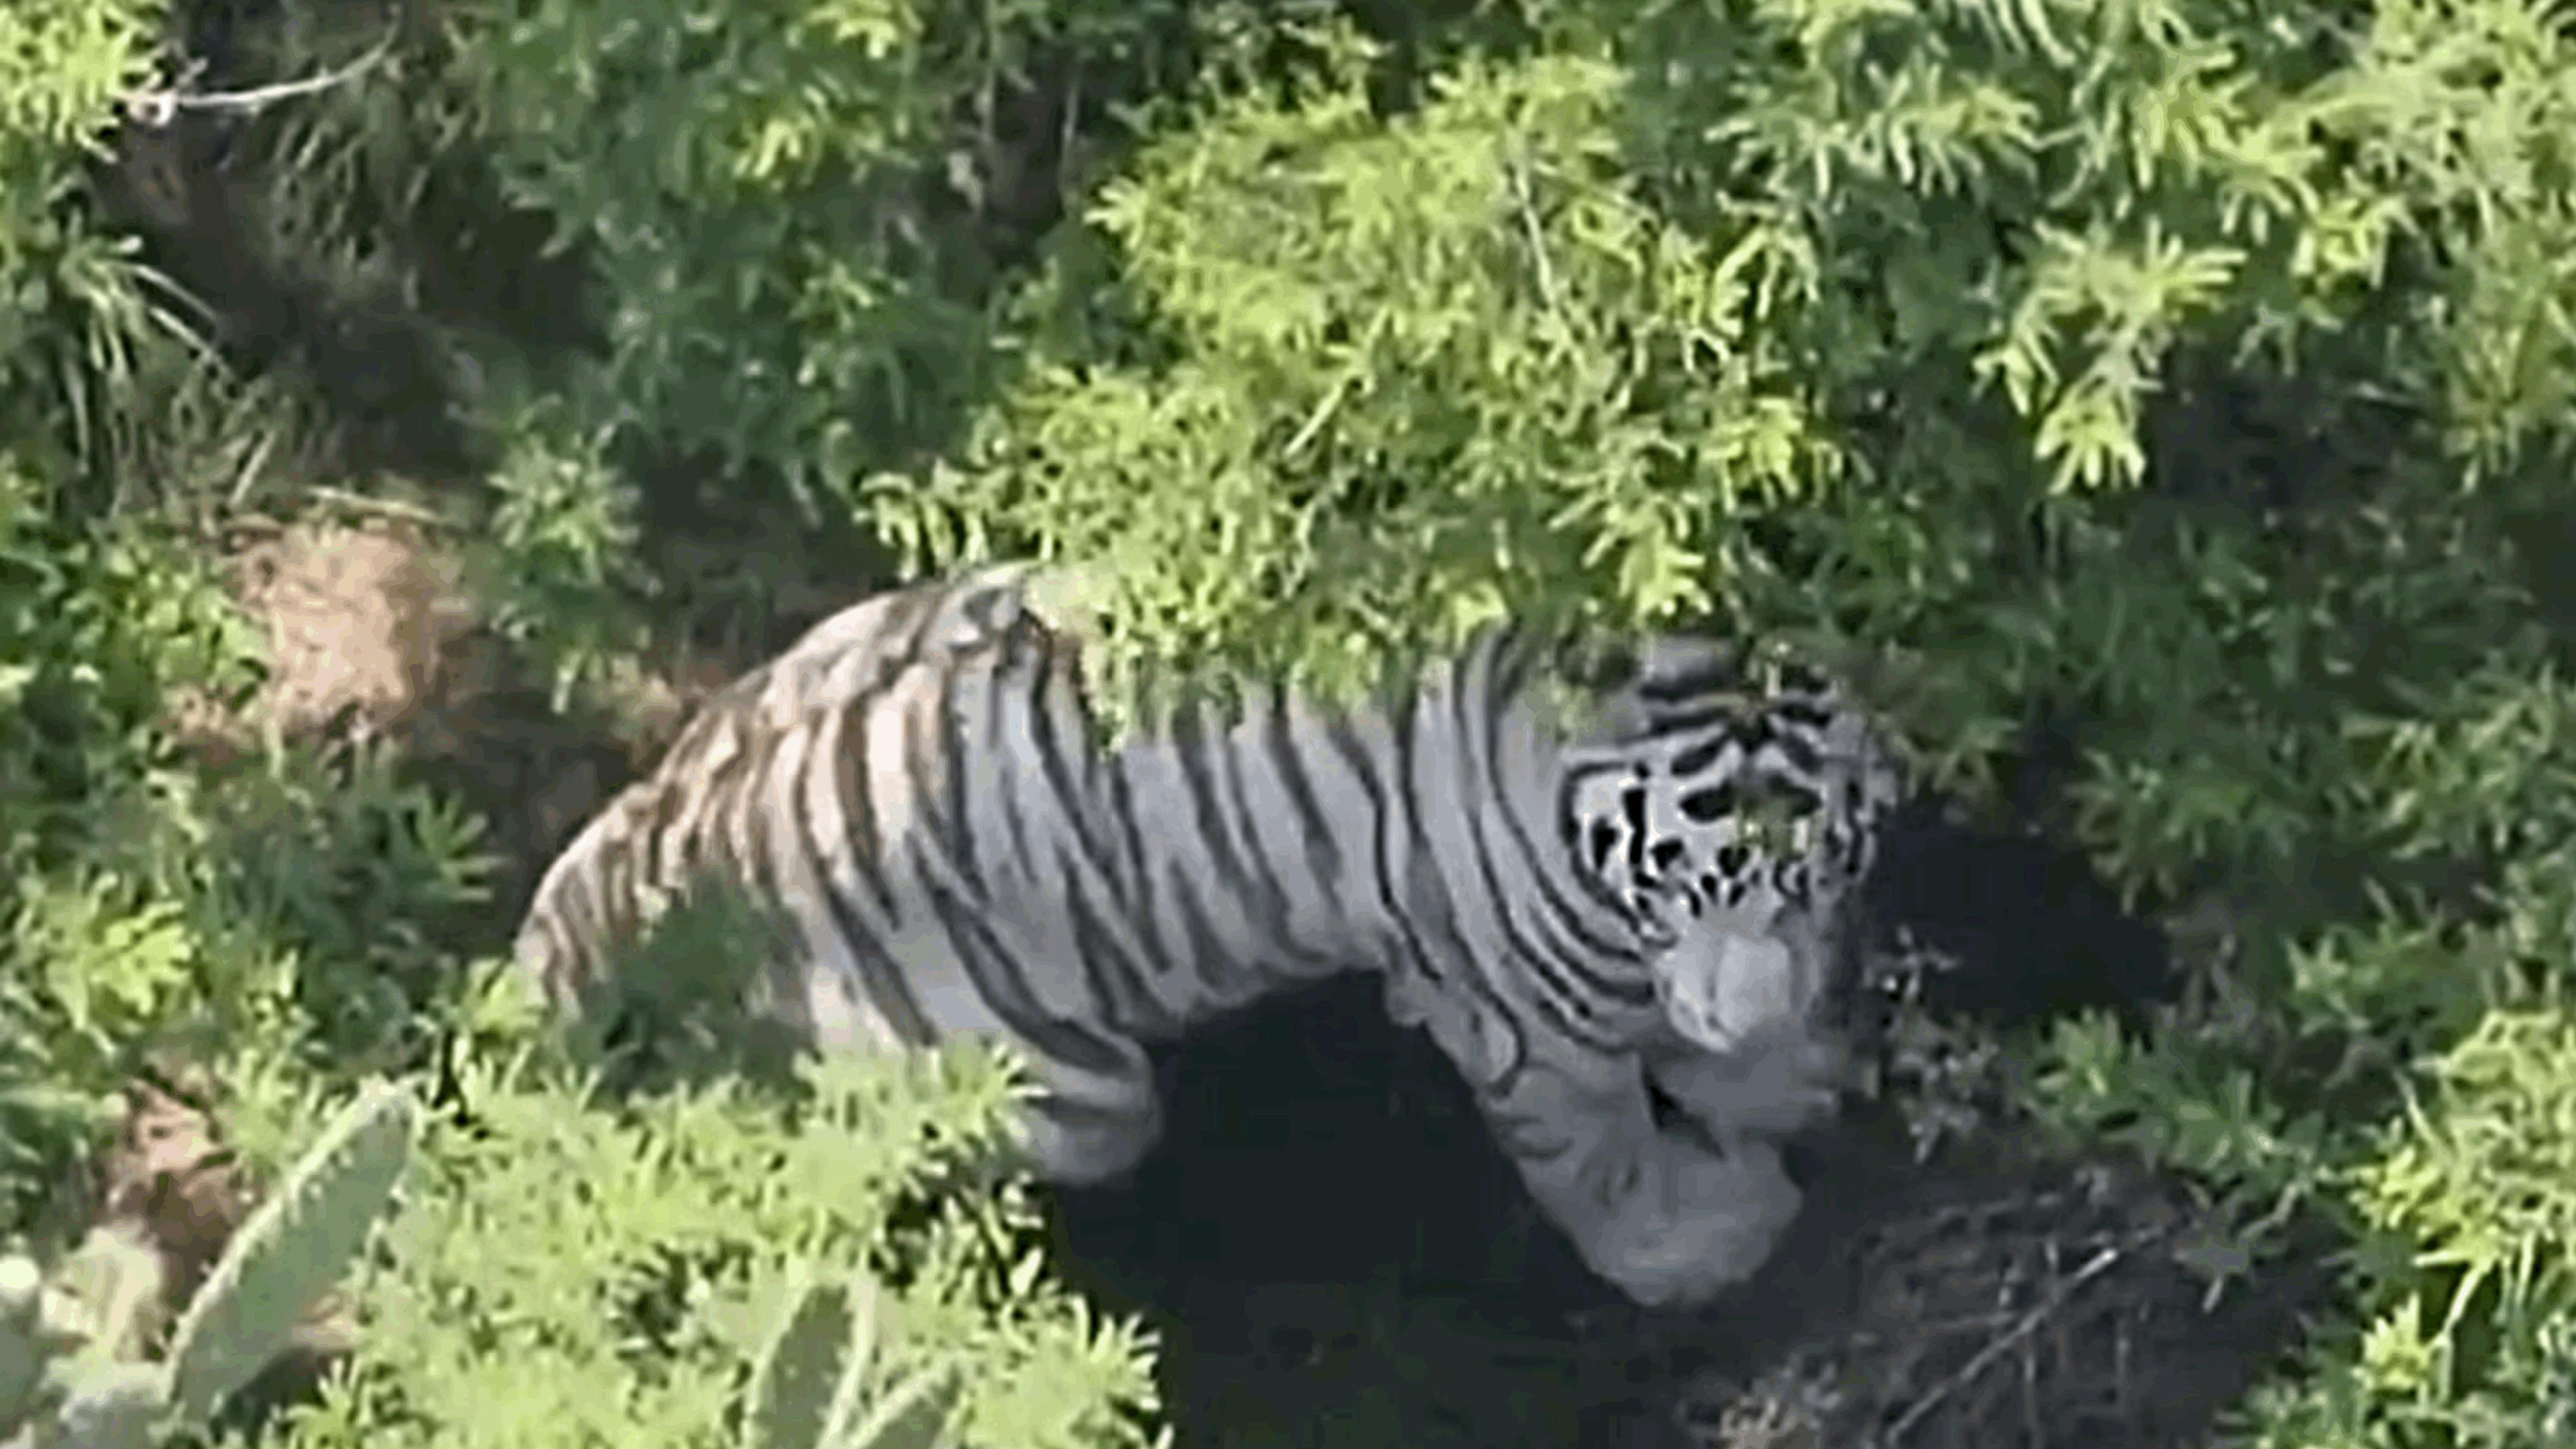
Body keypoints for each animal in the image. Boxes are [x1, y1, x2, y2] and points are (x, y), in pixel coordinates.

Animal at [512, 564, 1902, 1308]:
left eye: (1819, 863)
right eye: (1683, 877)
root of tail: (652, 845)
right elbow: (1602, 1155)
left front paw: (1785, 1077)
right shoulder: (1526, 1016)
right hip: (1073, 1098)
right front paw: (1705, 1243)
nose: (1753, 1006)